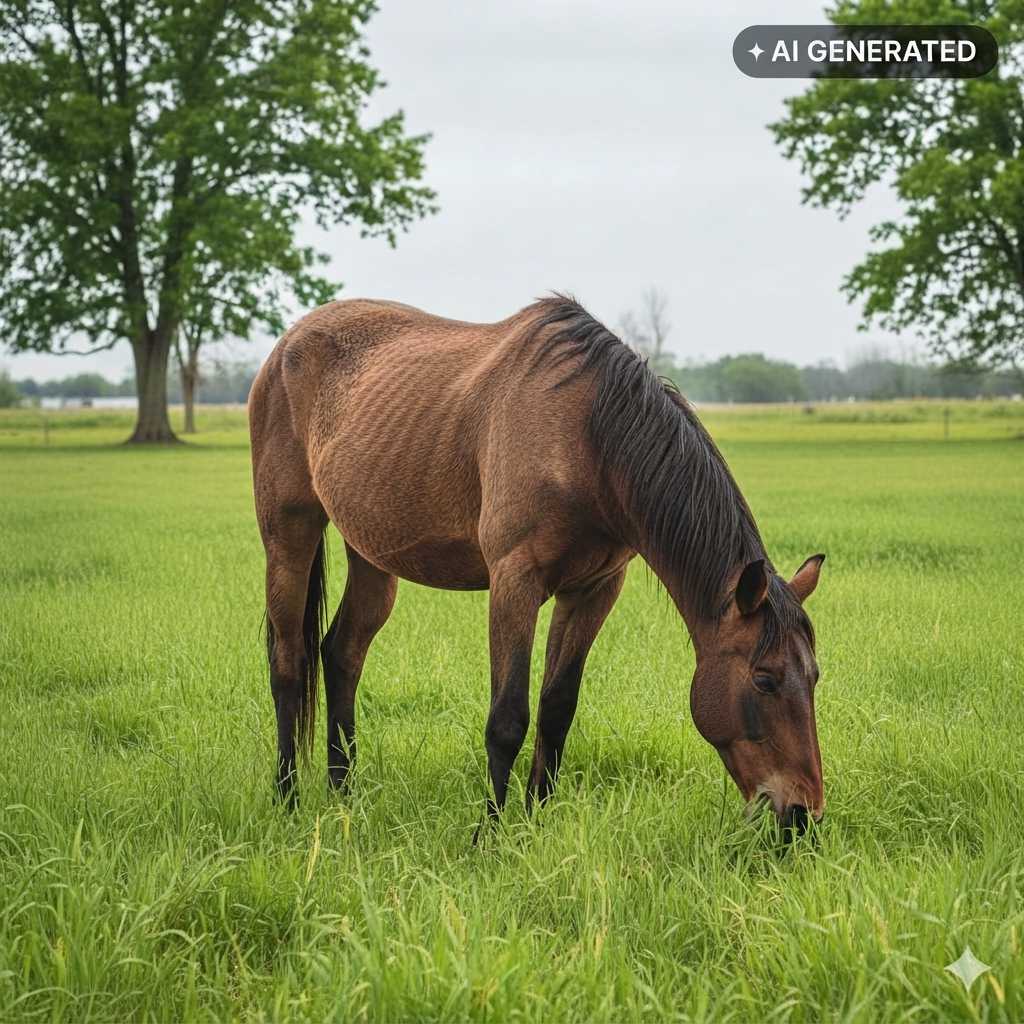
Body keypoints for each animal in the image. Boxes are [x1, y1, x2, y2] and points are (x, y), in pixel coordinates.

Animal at [248, 295, 826, 832]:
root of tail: (288, 342)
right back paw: (287, 798)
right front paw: (489, 835)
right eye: (764, 680)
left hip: (371, 552)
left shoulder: (594, 589)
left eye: (814, 676)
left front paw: (534, 821)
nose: (803, 815)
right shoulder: (514, 582)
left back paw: (343, 793)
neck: (588, 438)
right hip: (288, 537)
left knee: (342, 653)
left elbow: (556, 711)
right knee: (288, 660)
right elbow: (507, 718)